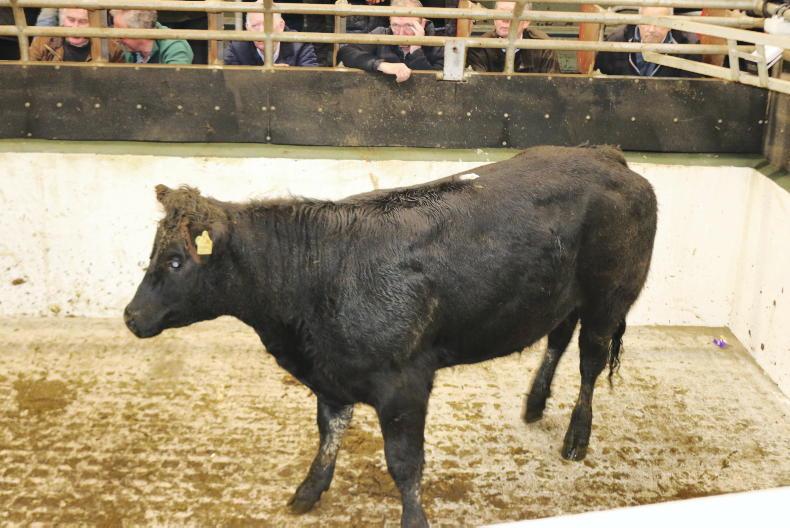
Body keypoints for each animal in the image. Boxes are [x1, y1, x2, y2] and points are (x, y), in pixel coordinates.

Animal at [124, 145, 657, 528]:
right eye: (151, 253)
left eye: (177, 260)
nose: (131, 316)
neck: (319, 270)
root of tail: (607, 155)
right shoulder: (331, 373)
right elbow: (329, 432)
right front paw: (309, 491)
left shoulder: (404, 382)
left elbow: (404, 463)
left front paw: (414, 518)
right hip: (559, 299)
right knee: (557, 340)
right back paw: (534, 403)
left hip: (609, 299)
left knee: (590, 362)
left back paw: (576, 438)